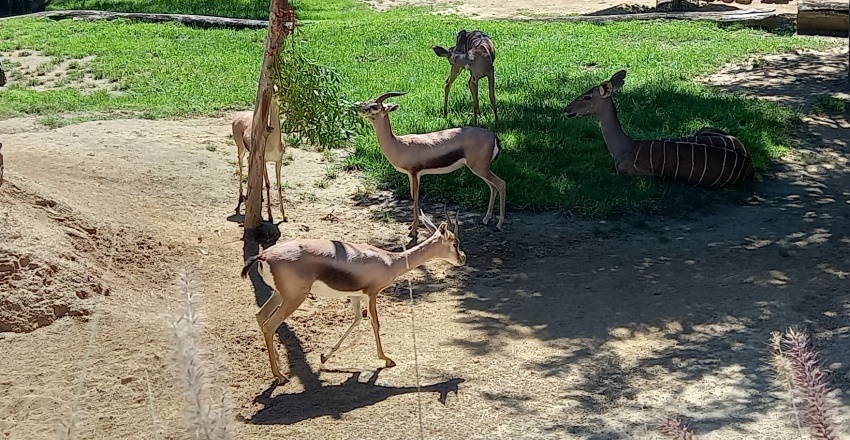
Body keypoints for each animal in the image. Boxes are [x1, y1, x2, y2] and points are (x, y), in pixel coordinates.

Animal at [230, 85, 286, 222]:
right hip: (241, 149)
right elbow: (268, 184)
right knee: (240, 163)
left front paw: (284, 215)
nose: (282, 100)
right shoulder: (264, 160)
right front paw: (270, 216)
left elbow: (279, 185)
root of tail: (237, 118)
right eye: (273, 91)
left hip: (251, 154)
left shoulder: (279, 161)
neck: (273, 142)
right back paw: (241, 196)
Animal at [238, 208, 468, 384]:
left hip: (279, 295)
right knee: (269, 324)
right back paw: (280, 376)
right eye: (455, 242)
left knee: (260, 316)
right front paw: (386, 359)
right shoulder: (372, 294)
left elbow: (357, 320)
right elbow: (375, 323)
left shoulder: (356, 296)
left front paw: (324, 357)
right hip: (294, 298)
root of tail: (264, 255)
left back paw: (277, 368)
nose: (463, 258)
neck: (390, 260)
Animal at [356, 92, 504, 237]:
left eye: (375, 106)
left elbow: (415, 197)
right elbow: (412, 196)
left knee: (501, 184)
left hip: (480, 168)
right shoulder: (410, 175)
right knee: (493, 187)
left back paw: (499, 224)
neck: (399, 144)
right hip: (481, 169)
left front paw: (413, 230)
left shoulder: (415, 173)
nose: (359, 110)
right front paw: (411, 227)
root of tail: (494, 135)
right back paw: (486, 219)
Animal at [560, 69, 752, 186]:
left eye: (587, 97)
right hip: (704, 128)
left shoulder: (634, 175)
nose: (566, 110)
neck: (625, 148)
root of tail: (748, 162)